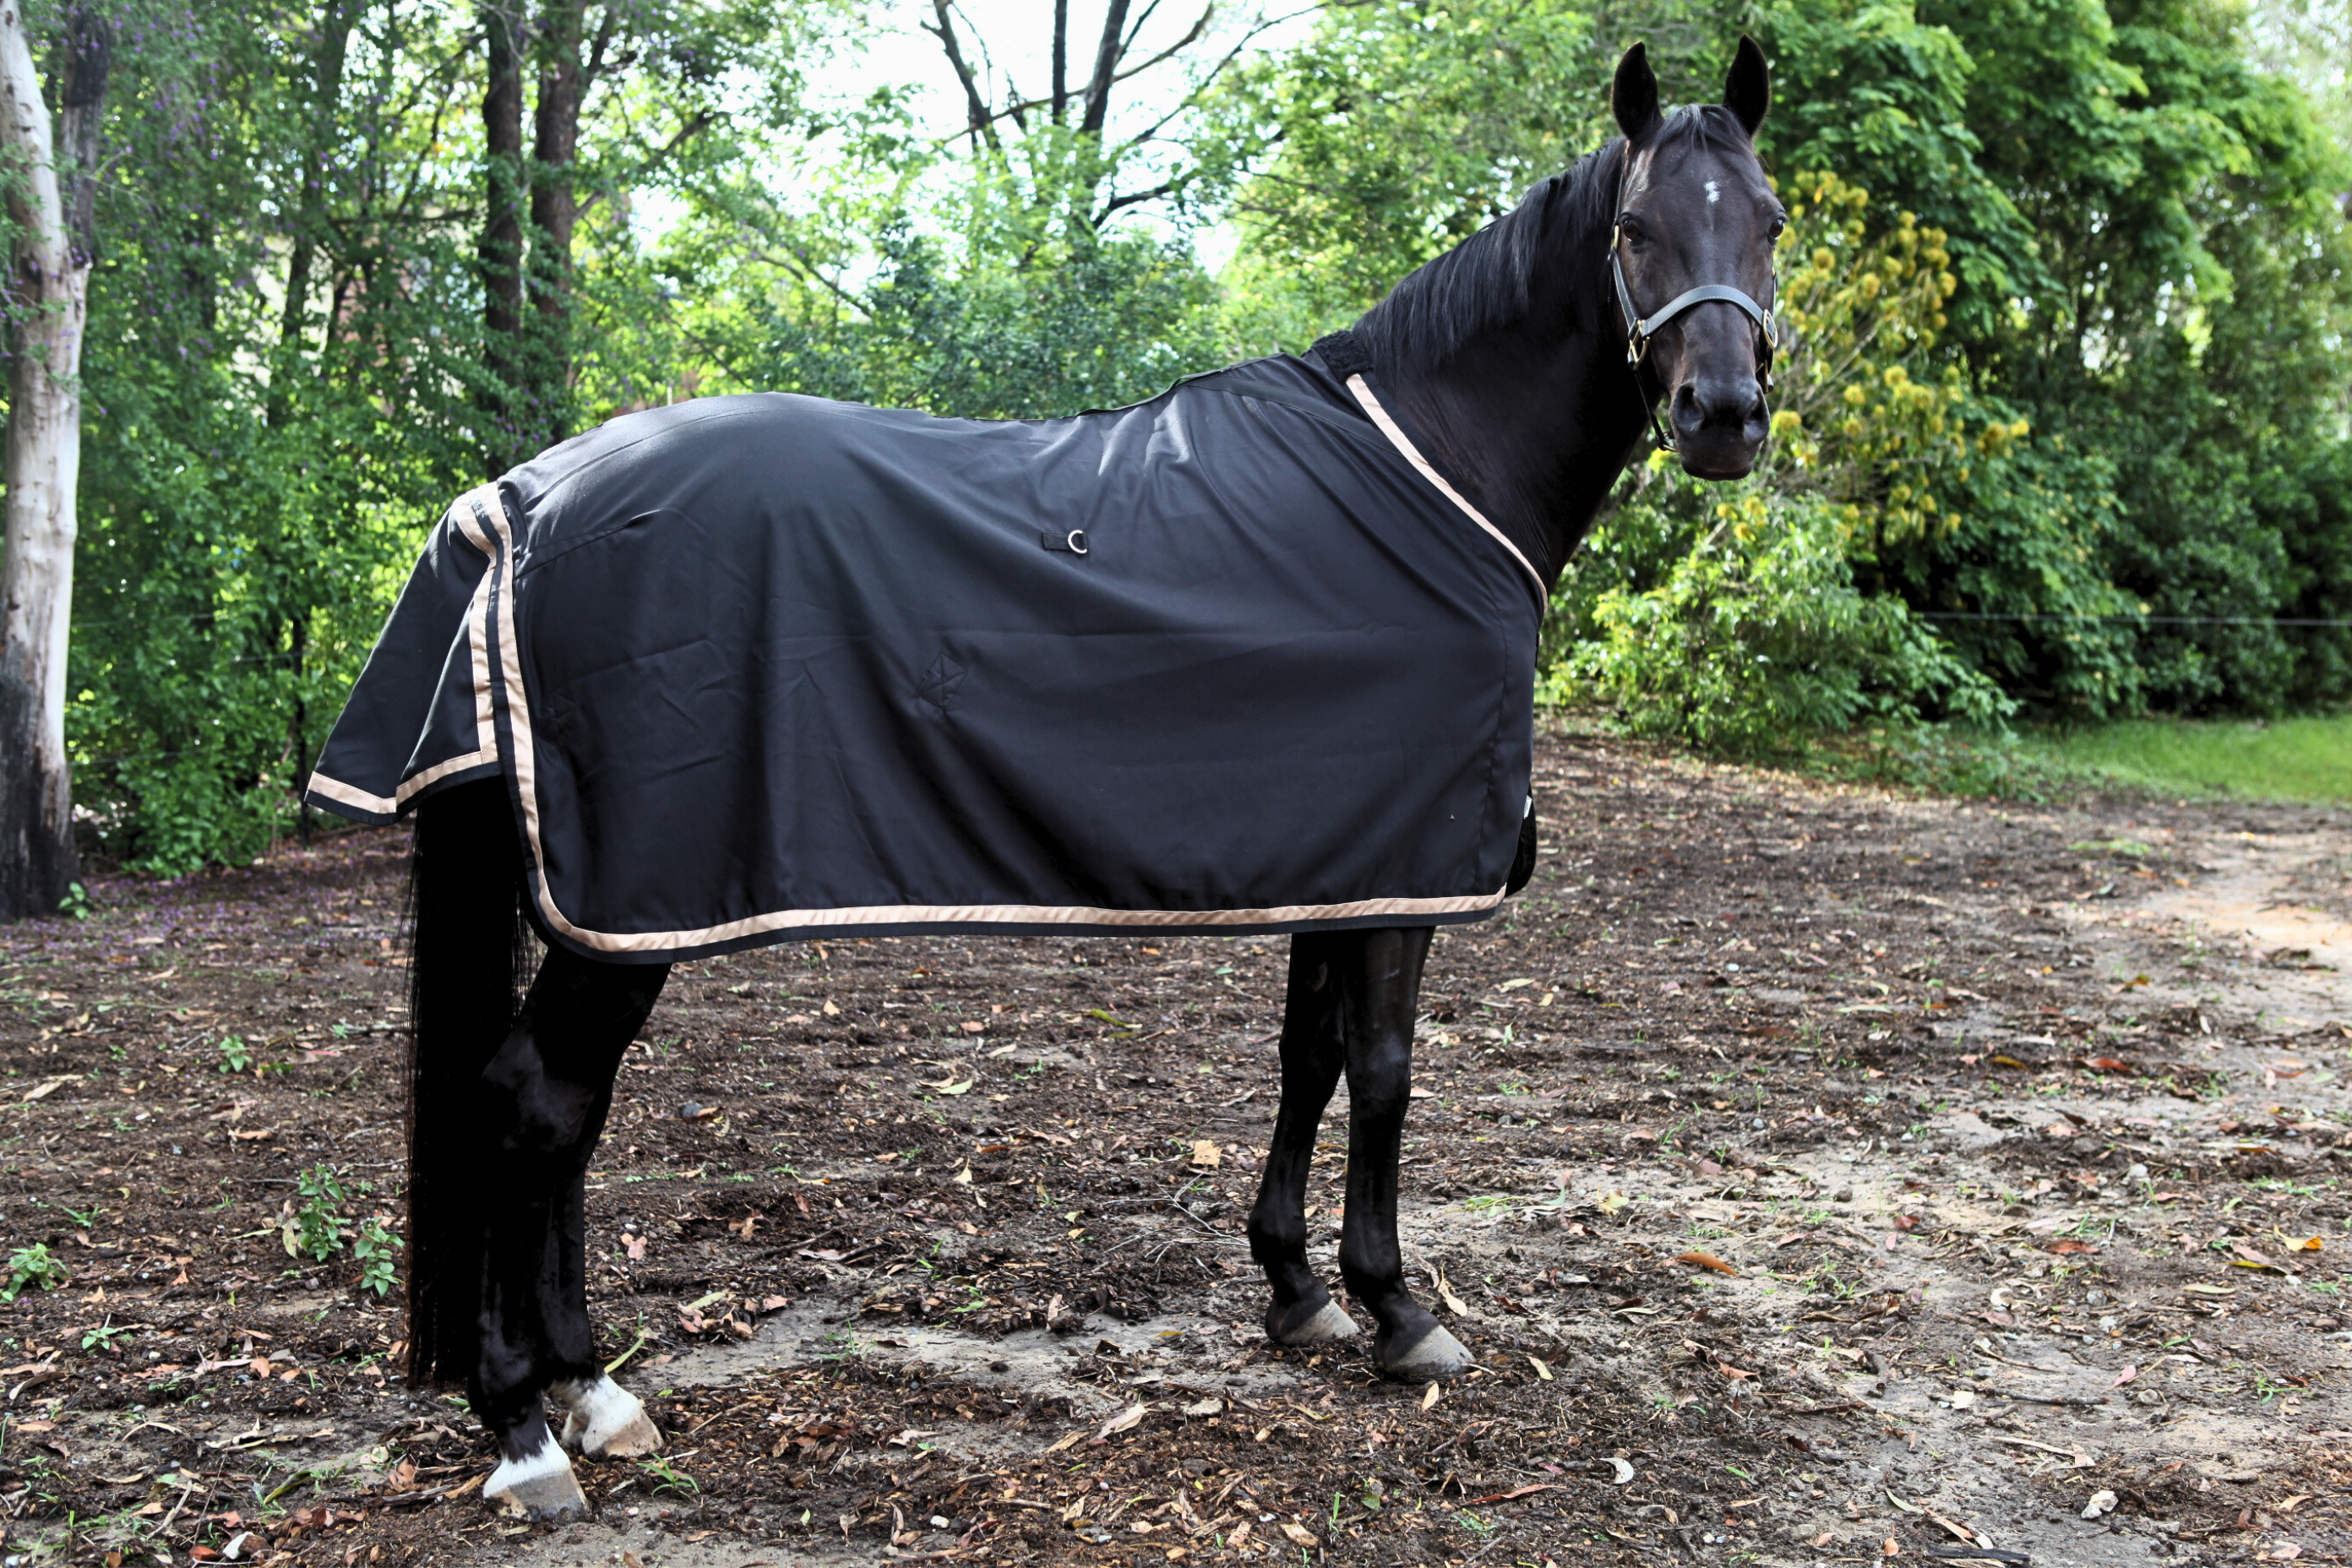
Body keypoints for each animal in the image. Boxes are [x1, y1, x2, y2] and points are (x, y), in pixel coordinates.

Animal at [317, 42, 1778, 1523]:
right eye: (1636, 229)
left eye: (1769, 222)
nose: (1723, 417)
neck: (1432, 468)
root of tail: (515, 504)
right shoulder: (1409, 872)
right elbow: (1382, 1073)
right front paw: (1398, 1311)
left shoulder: (1349, 856)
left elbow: (1307, 1057)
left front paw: (1296, 1290)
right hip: (628, 903)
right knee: (535, 1104)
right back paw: (526, 1431)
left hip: (613, 918)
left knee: (568, 1114)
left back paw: (594, 1390)